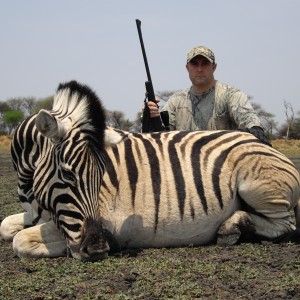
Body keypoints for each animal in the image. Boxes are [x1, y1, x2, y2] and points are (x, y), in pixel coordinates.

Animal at [0, 80, 298, 260]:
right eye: (67, 174)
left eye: (101, 178)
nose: (98, 247)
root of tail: (260, 142)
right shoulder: (38, 215)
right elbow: (6, 227)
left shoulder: (99, 219)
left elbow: (21, 241)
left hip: (258, 188)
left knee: (286, 225)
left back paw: (231, 228)